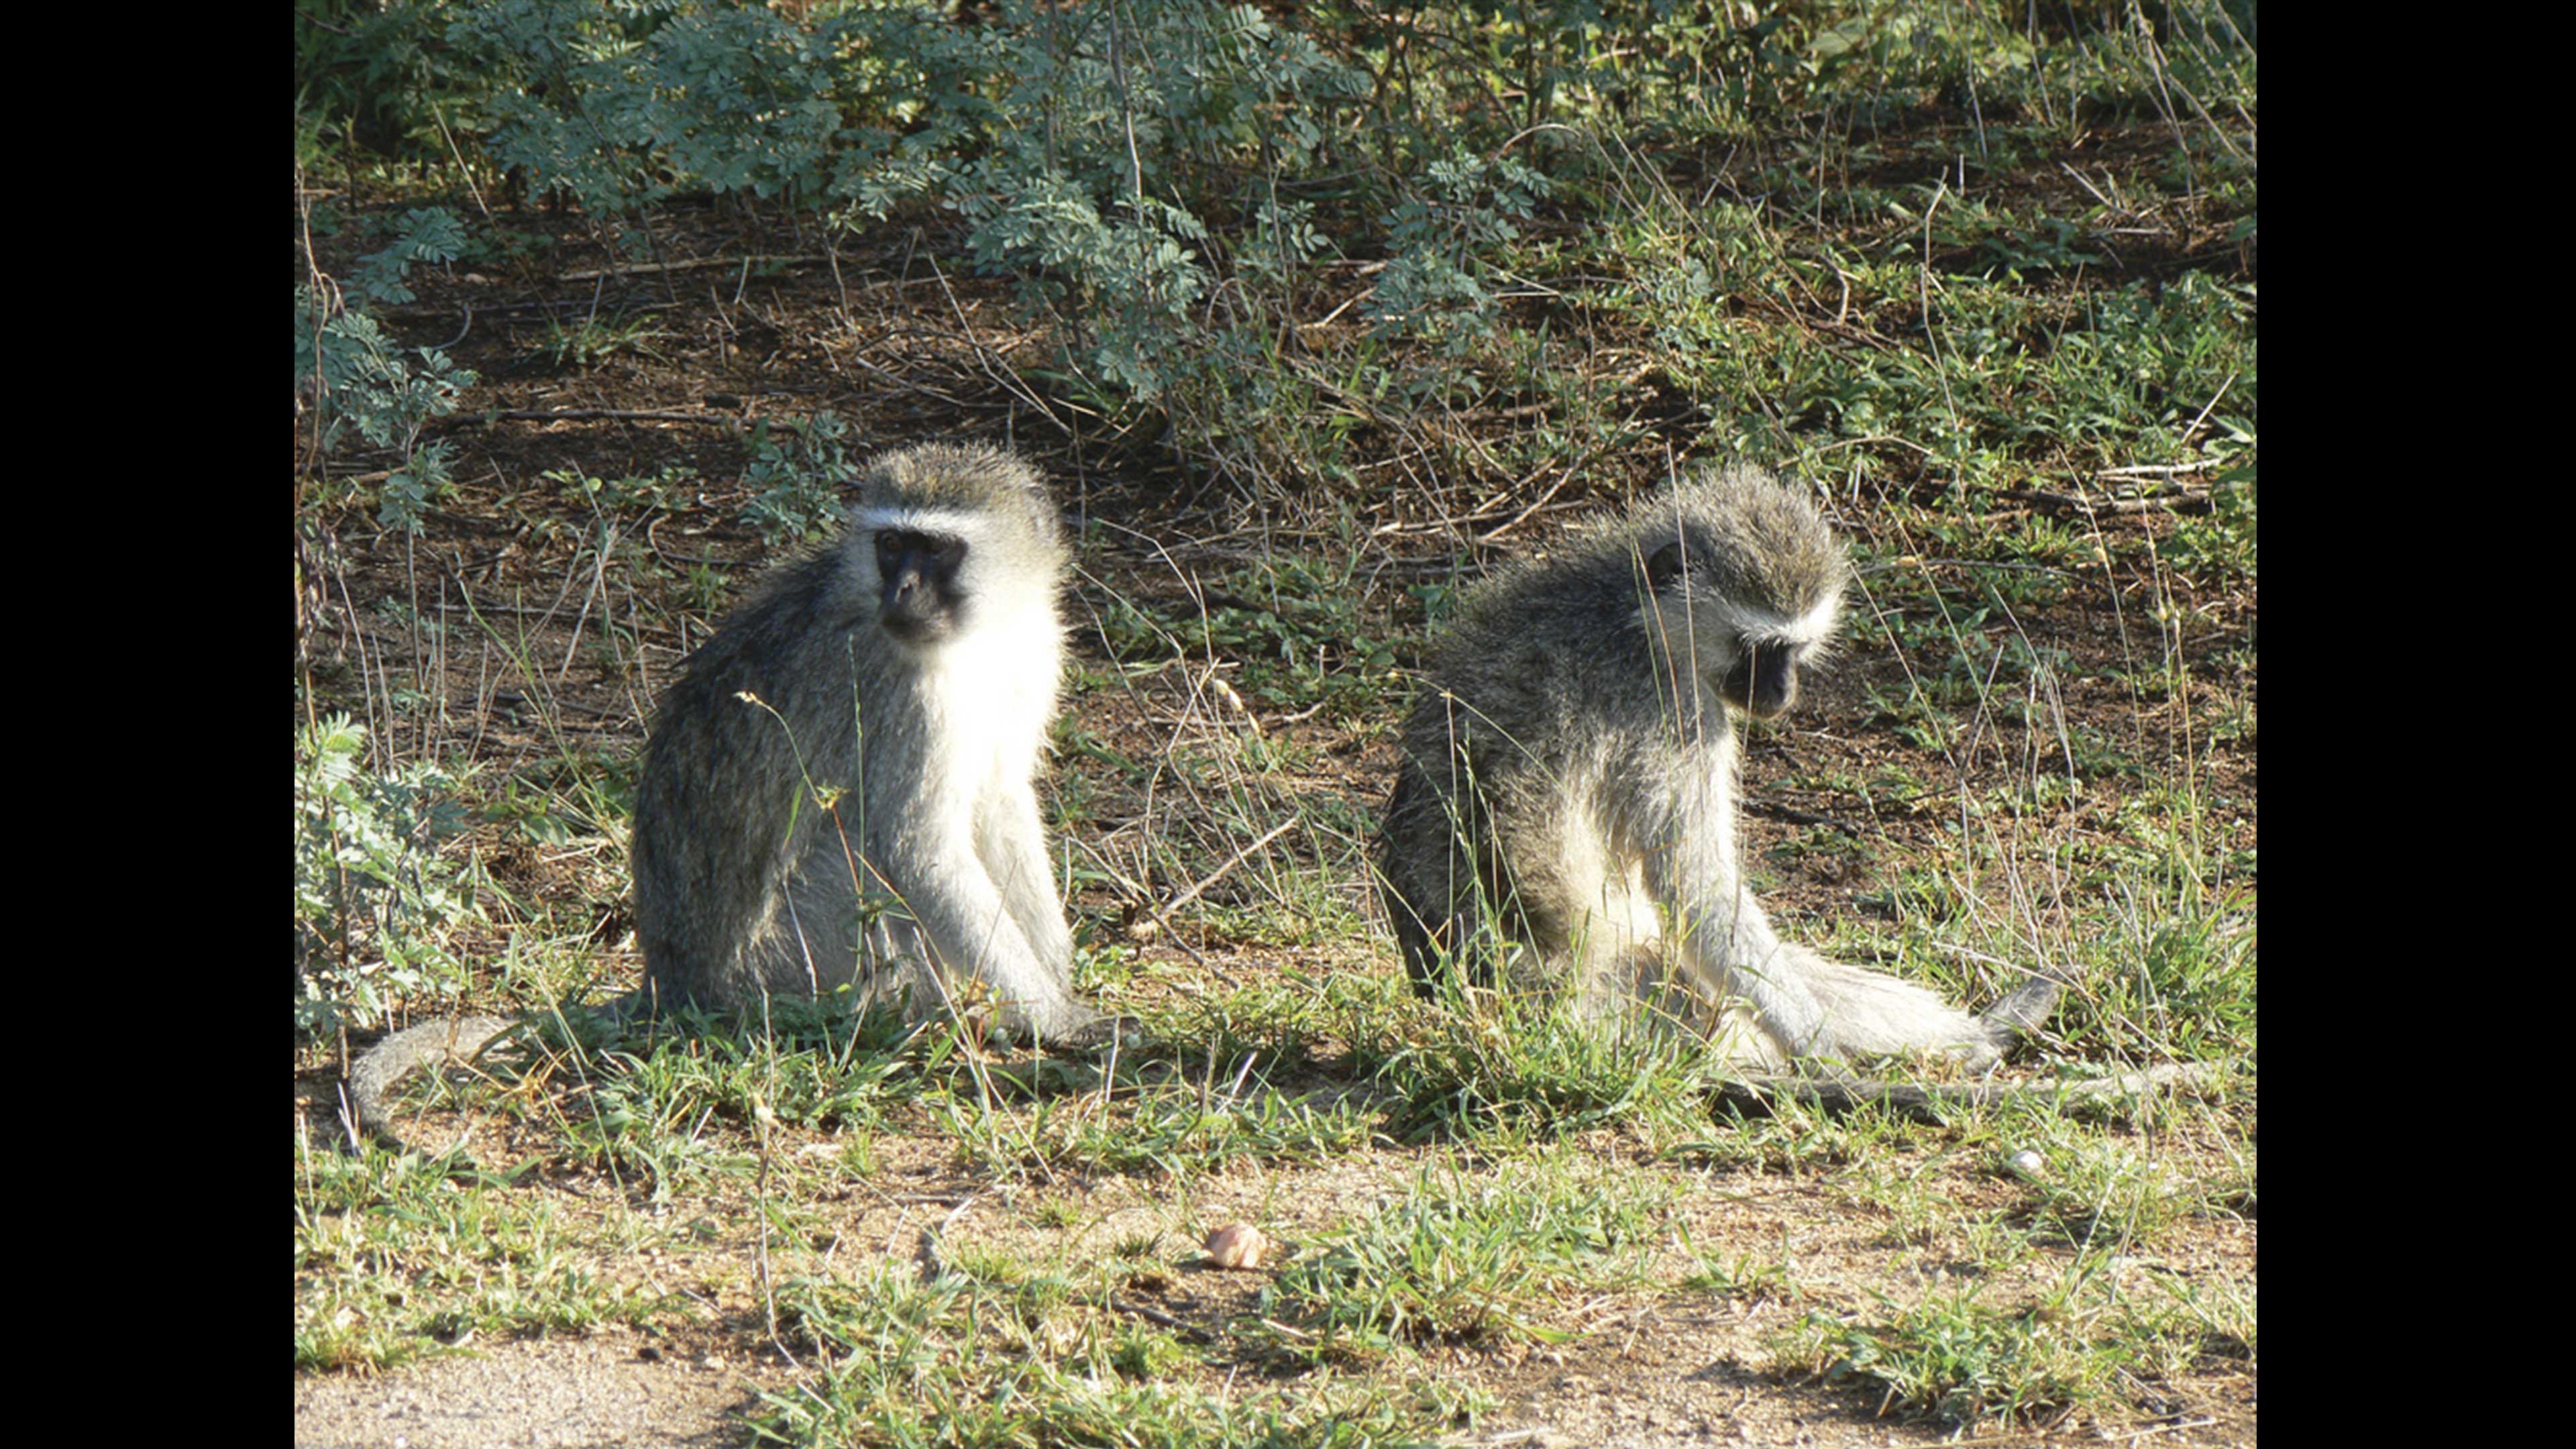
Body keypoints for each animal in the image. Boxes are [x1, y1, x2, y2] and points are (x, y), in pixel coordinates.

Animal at [345, 445, 1118, 1144]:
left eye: (935, 550)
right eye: (892, 545)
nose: (901, 593)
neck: (981, 635)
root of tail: (675, 983)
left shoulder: (1028, 655)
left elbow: (1002, 800)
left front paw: (1055, 978)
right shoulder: (901, 694)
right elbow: (919, 850)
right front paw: (1058, 1019)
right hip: (782, 965)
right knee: (858, 845)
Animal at [1391, 456, 2050, 1077]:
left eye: (1795, 649)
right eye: (1756, 648)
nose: (1783, 693)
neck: (1630, 613)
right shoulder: (1672, 709)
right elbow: (1695, 884)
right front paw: (1821, 1051)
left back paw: (1984, 1035)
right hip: (1634, 1004)